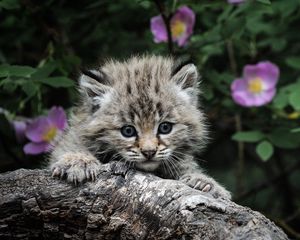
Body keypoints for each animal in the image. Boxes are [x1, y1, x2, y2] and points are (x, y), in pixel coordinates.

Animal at [50, 55, 231, 199]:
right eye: (128, 131)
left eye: (165, 128)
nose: (149, 152)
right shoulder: (75, 133)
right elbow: (72, 145)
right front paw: (77, 162)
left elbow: (184, 165)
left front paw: (203, 183)